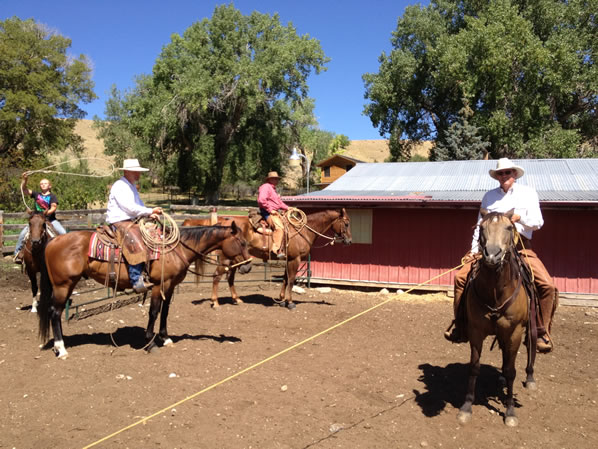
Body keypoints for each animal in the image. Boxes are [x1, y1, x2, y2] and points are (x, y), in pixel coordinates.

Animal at [37, 222, 253, 358]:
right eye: (242, 242)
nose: (248, 267)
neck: (175, 250)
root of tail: (53, 241)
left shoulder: (170, 286)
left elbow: (165, 312)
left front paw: (165, 338)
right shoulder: (159, 285)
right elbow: (154, 311)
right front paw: (151, 342)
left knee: (54, 312)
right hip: (63, 284)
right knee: (55, 313)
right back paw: (61, 349)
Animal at [186, 207, 352, 308]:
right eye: (347, 224)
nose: (349, 241)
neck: (302, 231)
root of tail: (222, 221)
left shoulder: (288, 259)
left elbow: (285, 278)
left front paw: (281, 299)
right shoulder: (295, 259)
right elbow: (291, 279)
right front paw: (290, 302)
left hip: (235, 259)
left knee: (230, 278)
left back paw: (237, 299)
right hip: (227, 258)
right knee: (217, 276)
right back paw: (215, 302)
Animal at [460, 210, 540, 428]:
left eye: (509, 227)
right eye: (481, 227)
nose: (492, 255)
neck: (496, 292)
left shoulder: (515, 332)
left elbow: (511, 370)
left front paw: (510, 411)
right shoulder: (476, 331)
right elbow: (474, 367)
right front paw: (466, 407)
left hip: (529, 328)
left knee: (530, 345)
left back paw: (530, 378)